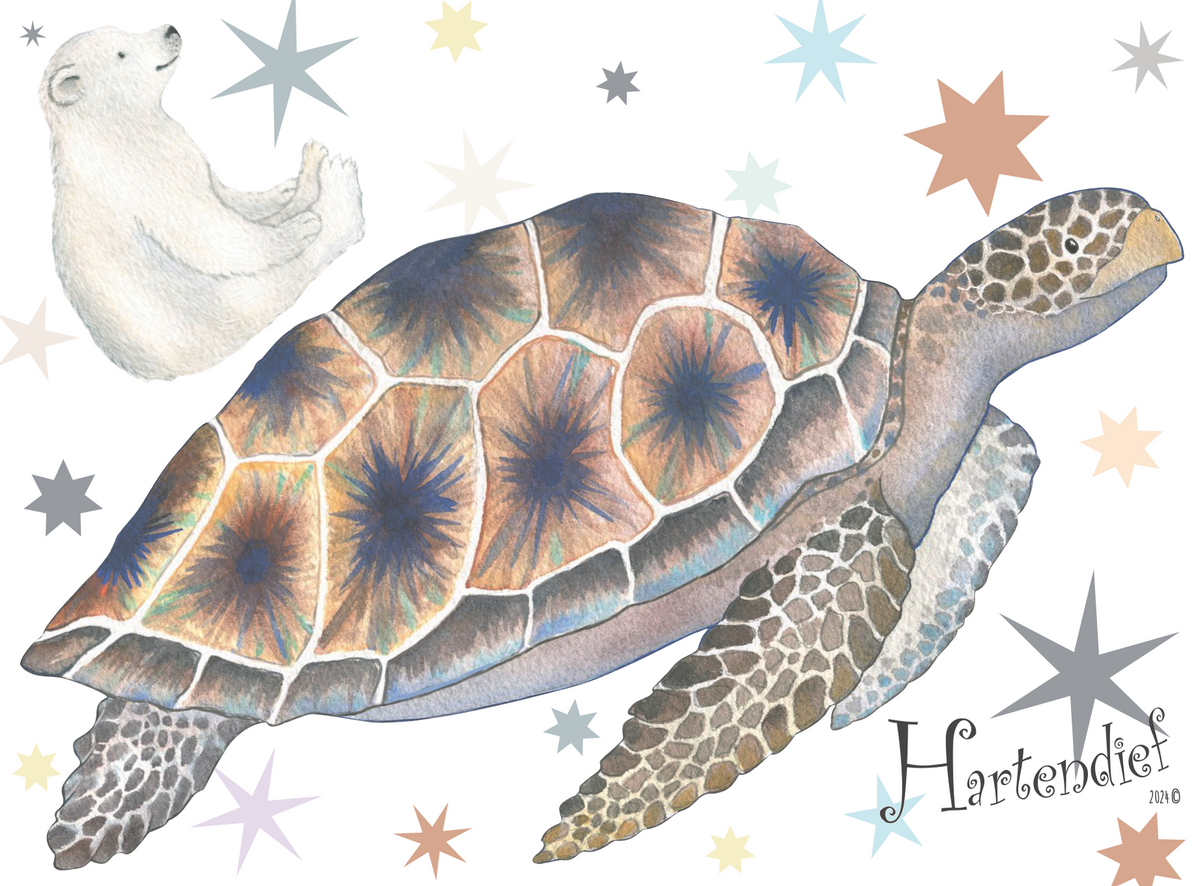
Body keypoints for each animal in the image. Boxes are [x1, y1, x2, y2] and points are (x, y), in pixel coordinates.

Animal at [40, 24, 365, 380]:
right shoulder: (141, 175)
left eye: (124, 31)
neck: (109, 134)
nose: (170, 30)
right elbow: (207, 231)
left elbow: (221, 193)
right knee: (276, 282)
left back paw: (308, 170)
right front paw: (298, 229)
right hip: (207, 310)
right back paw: (335, 188)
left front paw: (283, 192)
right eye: (121, 53)